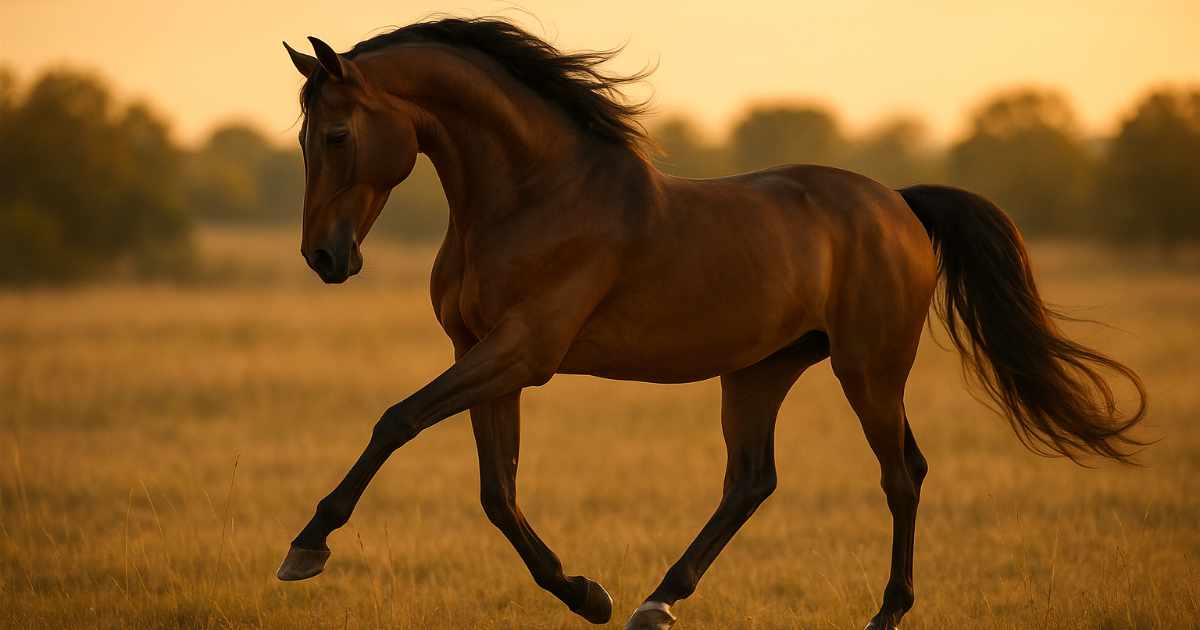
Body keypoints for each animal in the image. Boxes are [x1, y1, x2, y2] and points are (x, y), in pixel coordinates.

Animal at [276, 17, 1146, 630]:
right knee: (753, 480)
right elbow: (498, 491)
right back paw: (655, 601)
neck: (534, 194)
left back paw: (884, 612)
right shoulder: (484, 355)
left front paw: (306, 546)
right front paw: (586, 594)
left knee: (900, 475)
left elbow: (397, 421)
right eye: (304, 136)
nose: (323, 256)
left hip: (867, 370)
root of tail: (898, 205)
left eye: (338, 134)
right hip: (762, 370)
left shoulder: (522, 352)